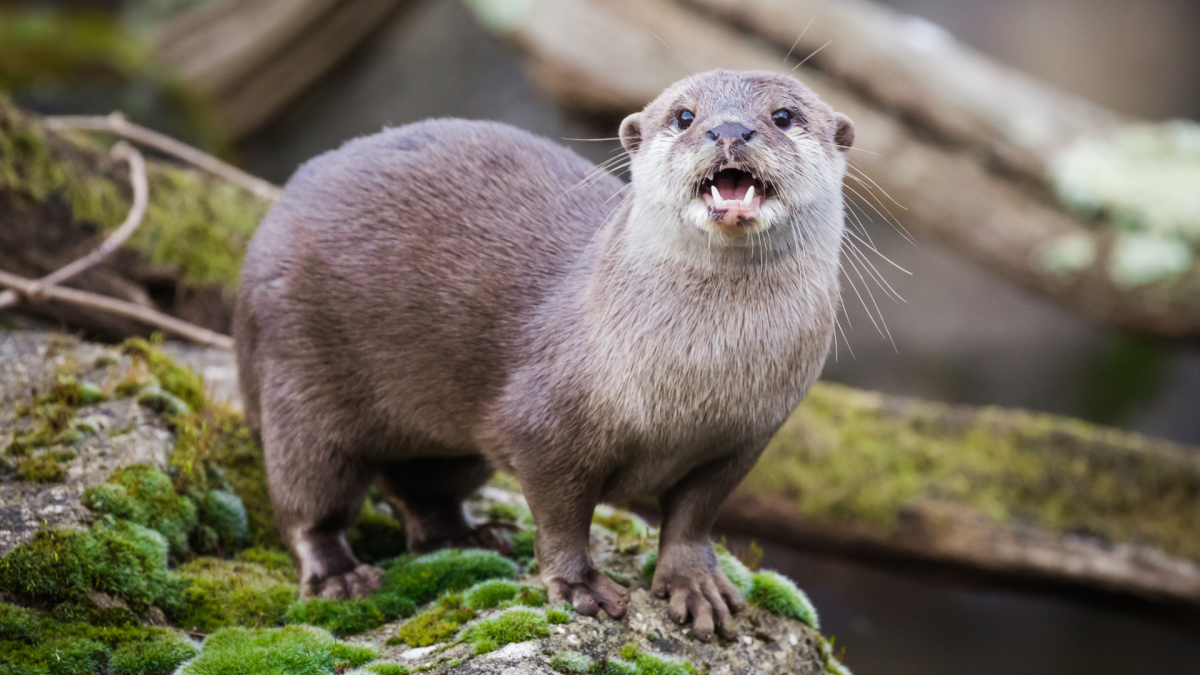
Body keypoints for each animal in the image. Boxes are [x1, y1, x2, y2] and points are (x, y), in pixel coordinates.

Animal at [234, 69, 854, 638]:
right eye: (683, 116)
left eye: (783, 116)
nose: (729, 130)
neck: (697, 384)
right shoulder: (545, 424)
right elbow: (562, 516)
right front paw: (580, 587)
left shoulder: (744, 440)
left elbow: (693, 518)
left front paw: (695, 584)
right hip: (297, 379)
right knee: (309, 498)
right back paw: (340, 576)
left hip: (447, 441)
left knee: (420, 489)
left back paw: (471, 536)